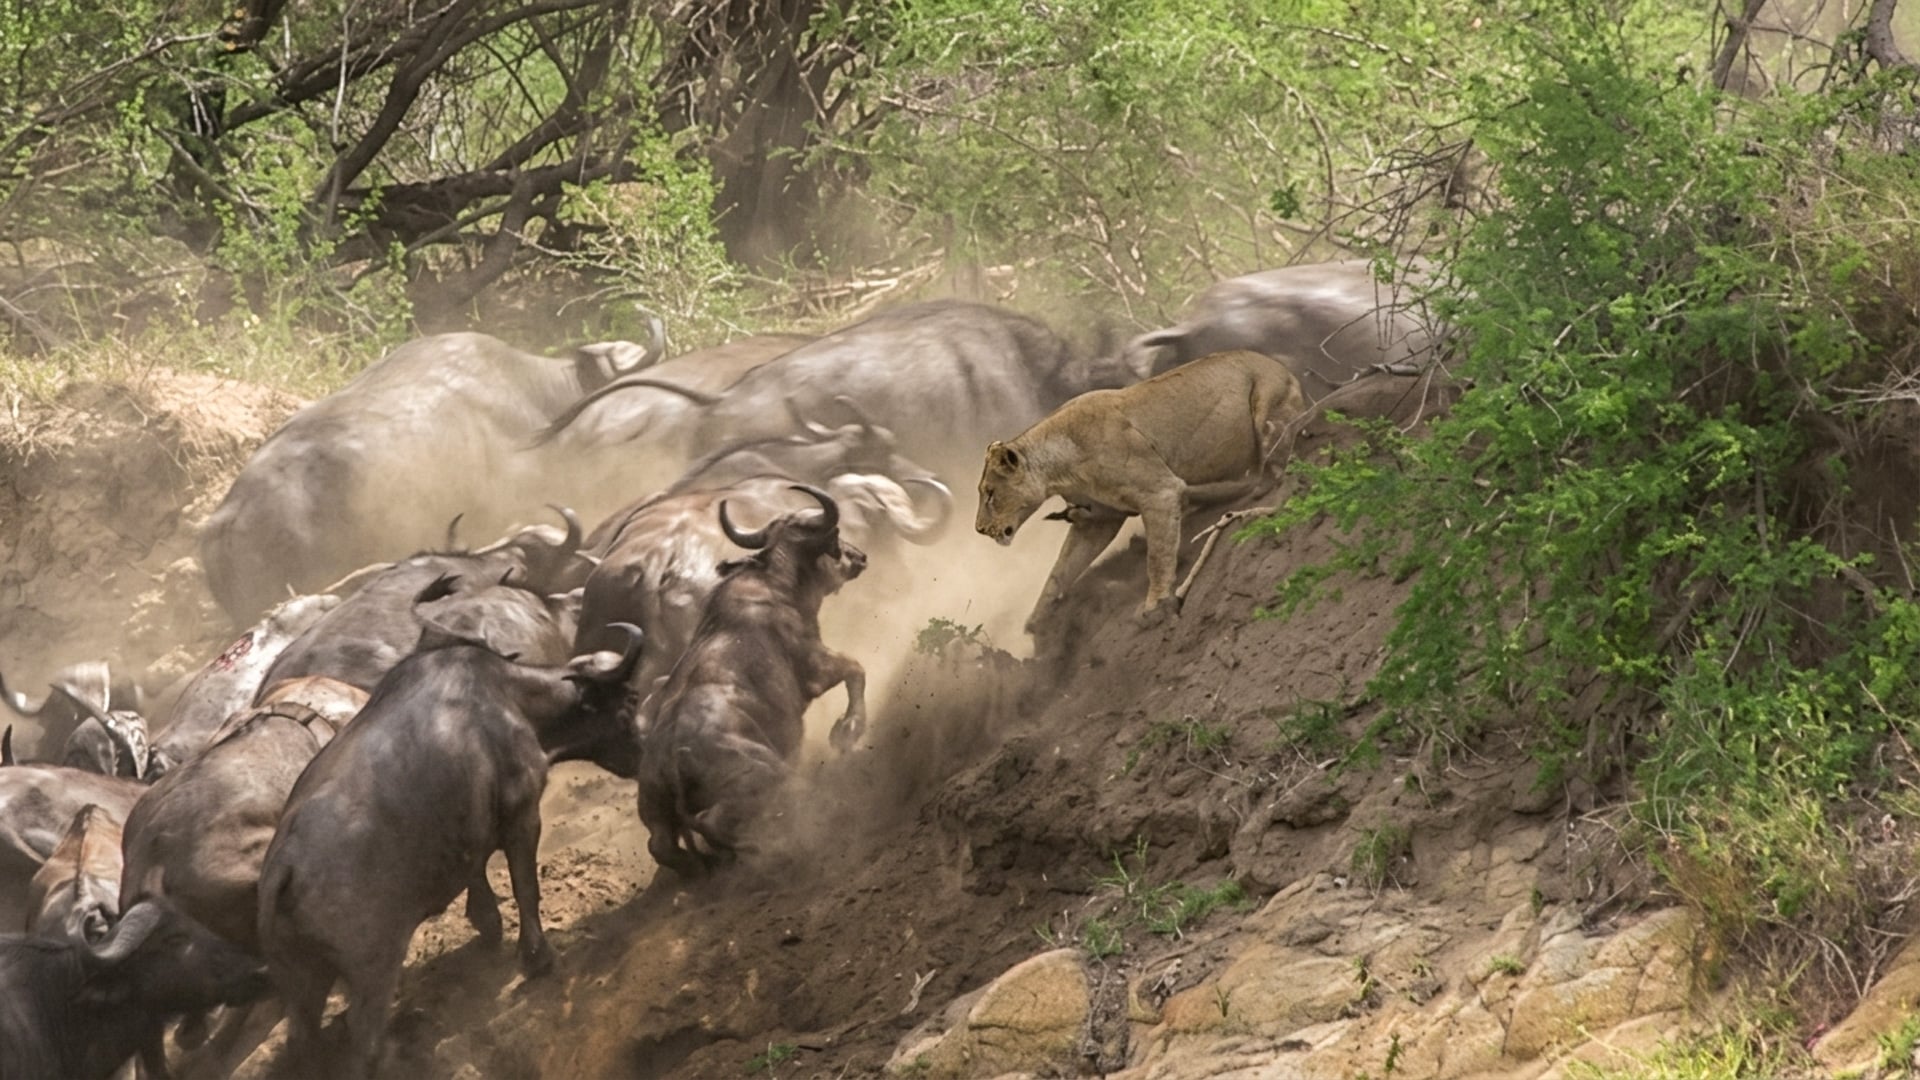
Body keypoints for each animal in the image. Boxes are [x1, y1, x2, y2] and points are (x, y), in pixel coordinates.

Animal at [257, 614, 643, 1080]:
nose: (643, 753)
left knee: (304, 1043)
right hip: (372, 971)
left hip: (303, 984)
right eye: (628, 701)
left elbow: (476, 872)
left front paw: (489, 924)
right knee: (363, 1040)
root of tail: (284, 867)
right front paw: (537, 957)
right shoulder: (523, 815)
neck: (510, 700)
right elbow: (526, 887)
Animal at [637, 486, 868, 875]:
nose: (860, 556)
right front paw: (847, 730)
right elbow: (857, 670)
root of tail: (672, 759)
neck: (775, 586)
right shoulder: (817, 668)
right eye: (834, 539)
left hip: (655, 812)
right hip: (767, 773)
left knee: (661, 846)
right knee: (714, 822)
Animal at [975, 349, 1307, 629]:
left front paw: (1155, 605)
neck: (1060, 469)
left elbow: (1157, 555)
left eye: (990, 493)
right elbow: (1060, 571)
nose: (979, 529)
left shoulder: (1159, 492)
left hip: (1265, 408)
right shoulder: (1097, 521)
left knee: (1275, 465)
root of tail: (1283, 366)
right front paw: (1035, 626)